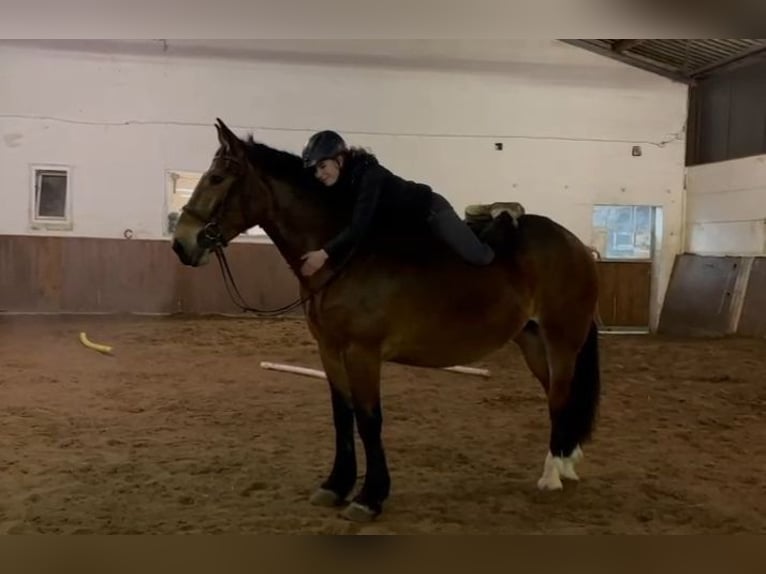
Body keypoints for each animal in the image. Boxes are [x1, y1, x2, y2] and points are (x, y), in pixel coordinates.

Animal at [171, 119, 604, 524]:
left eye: (217, 177)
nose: (181, 243)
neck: (343, 256)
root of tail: (577, 245)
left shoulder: (362, 353)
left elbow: (368, 420)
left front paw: (370, 497)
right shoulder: (329, 350)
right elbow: (342, 416)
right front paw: (336, 485)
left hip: (562, 341)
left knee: (560, 396)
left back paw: (551, 475)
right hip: (532, 340)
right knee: (559, 396)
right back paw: (567, 461)